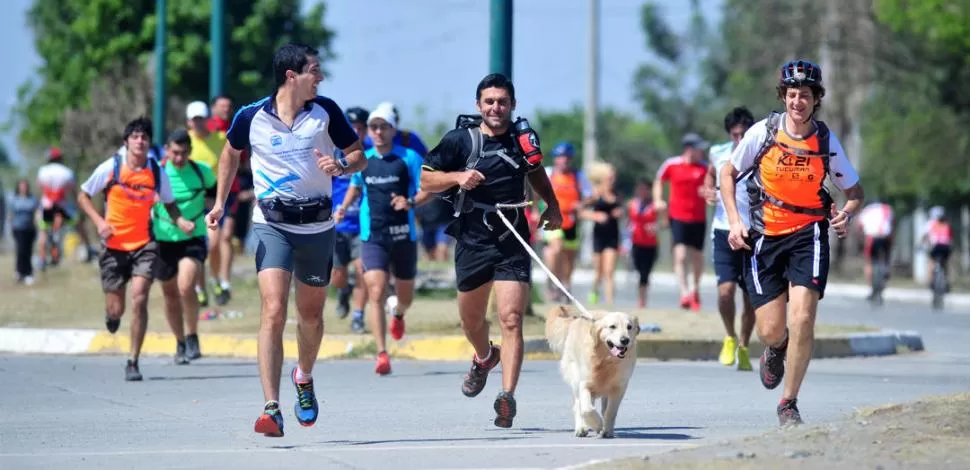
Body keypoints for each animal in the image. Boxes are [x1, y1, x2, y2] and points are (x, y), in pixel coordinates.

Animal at [544, 302, 636, 438]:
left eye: (629, 327)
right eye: (612, 327)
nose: (625, 340)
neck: (605, 360)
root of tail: (576, 319)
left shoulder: (619, 388)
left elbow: (610, 411)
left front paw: (606, 430)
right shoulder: (585, 384)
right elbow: (587, 409)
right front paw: (597, 425)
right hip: (575, 378)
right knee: (579, 405)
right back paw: (581, 428)